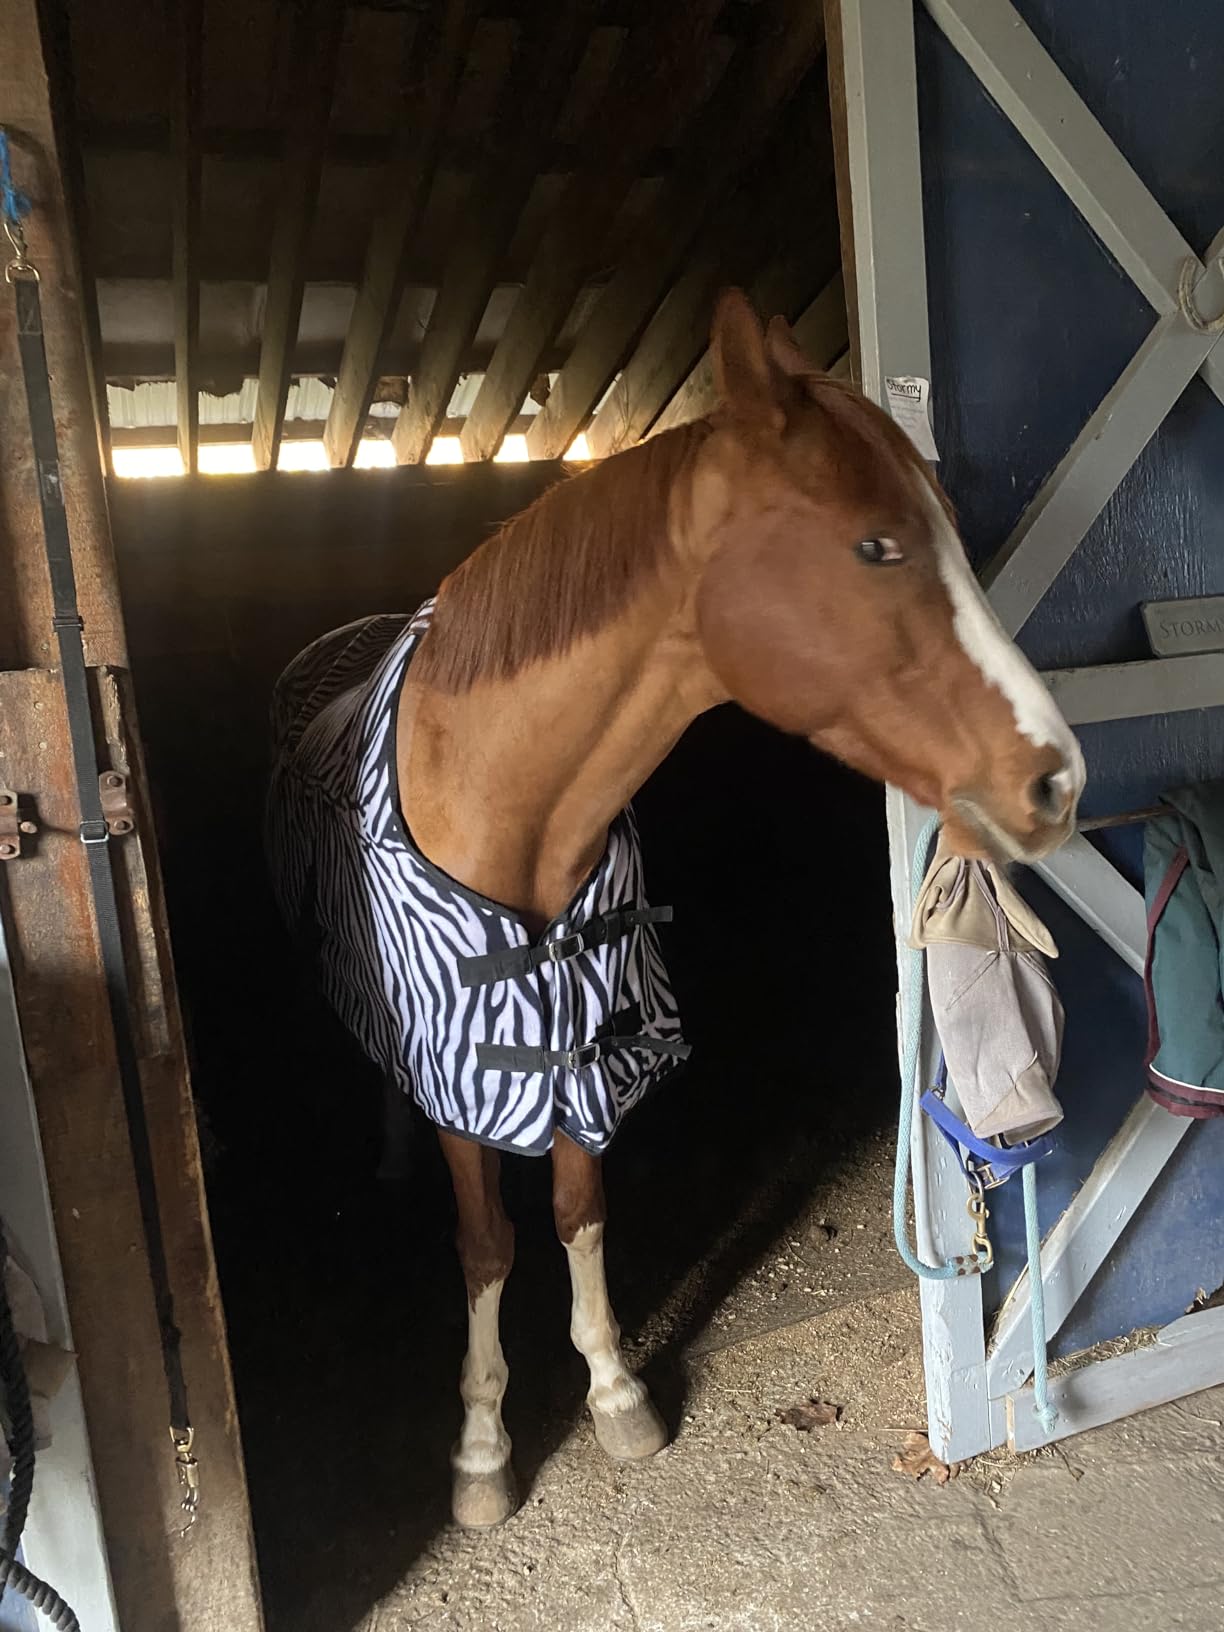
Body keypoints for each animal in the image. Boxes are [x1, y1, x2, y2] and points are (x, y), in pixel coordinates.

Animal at [265, 289, 1084, 1529]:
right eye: (876, 544)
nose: (1058, 781)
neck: (511, 802)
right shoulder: (472, 1060)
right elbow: (486, 1243)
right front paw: (480, 1452)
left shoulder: (587, 1050)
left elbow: (577, 1211)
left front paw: (614, 1396)